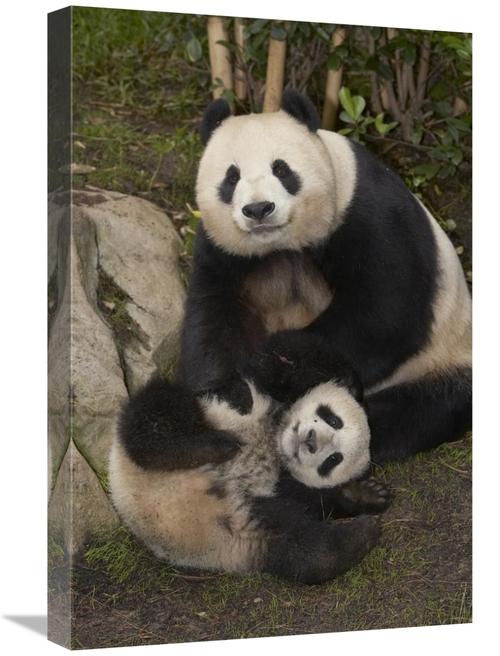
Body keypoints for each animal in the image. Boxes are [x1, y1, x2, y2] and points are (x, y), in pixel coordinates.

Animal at [109, 332, 391, 584]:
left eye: (333, 459)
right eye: (333, 420)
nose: (310, 441)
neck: (274, 437)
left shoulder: (282, 483)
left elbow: (310, 499)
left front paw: (365, 494)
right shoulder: (248, 384)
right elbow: (282, 358)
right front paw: (348, 383)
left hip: (247, 519)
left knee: (297, 546)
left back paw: (361, 533)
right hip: (147, 448)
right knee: (153, 414)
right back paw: (215, 446)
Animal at [175, 90, 472, 464]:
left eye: (281, 169)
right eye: (232, 177)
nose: (258, 209)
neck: (281, 244)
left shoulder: (368, 213)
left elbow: (382, 315)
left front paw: (272, 363)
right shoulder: (223, 249)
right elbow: (213, 313)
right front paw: (226, 398)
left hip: (444, 355)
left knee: (423, 407)